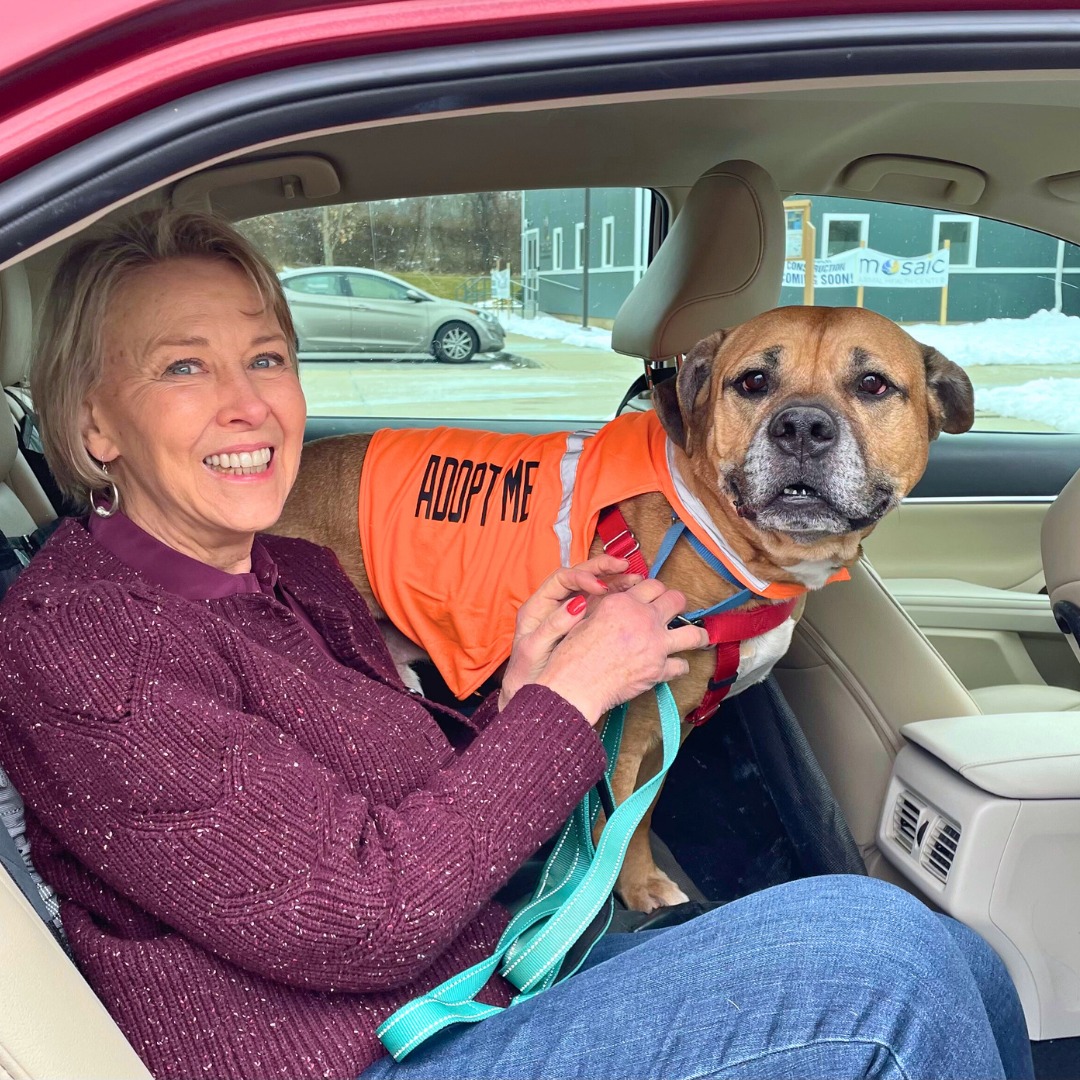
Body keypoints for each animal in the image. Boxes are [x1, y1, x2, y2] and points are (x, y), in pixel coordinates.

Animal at [272, 306, 980, 911]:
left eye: (873, 385)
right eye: (753, 382)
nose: (801, 427)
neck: (715, 536)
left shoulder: (676, 725)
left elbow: (643, 809)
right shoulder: (632, 725)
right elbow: (621, 821)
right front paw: (625, 890)